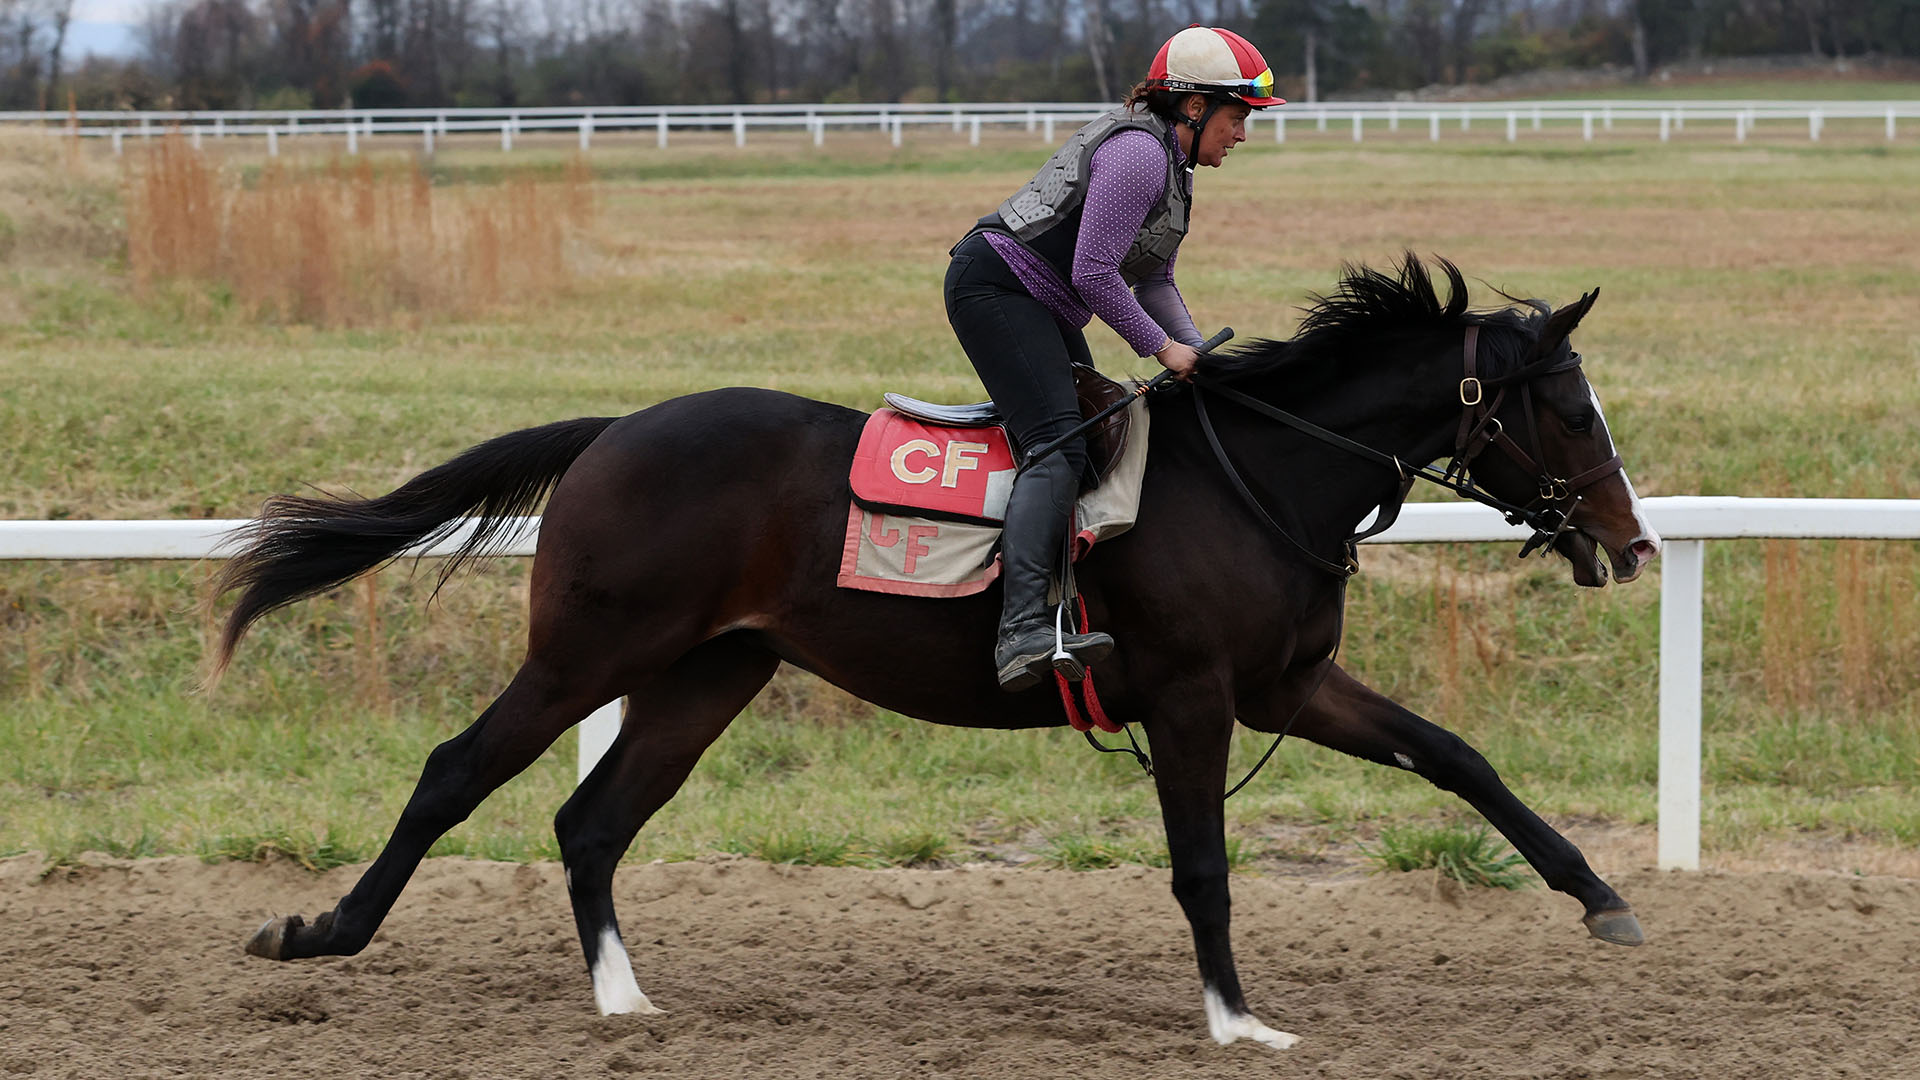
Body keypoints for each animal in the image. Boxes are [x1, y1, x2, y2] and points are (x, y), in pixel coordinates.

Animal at [214, 251, 1666, 1045]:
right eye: (1568, 408)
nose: (1634, 542)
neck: (1263, 477)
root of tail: (613, 429)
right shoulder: (1194, 696)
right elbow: (1202, 866)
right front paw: (1238, 1017)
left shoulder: (1287, 686)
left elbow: (1456, 757)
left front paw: (1603, 897)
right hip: (590, 651)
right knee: (457, 772)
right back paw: (322, 933)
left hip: (709, 670)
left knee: (593, 820)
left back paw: (626, 1004)